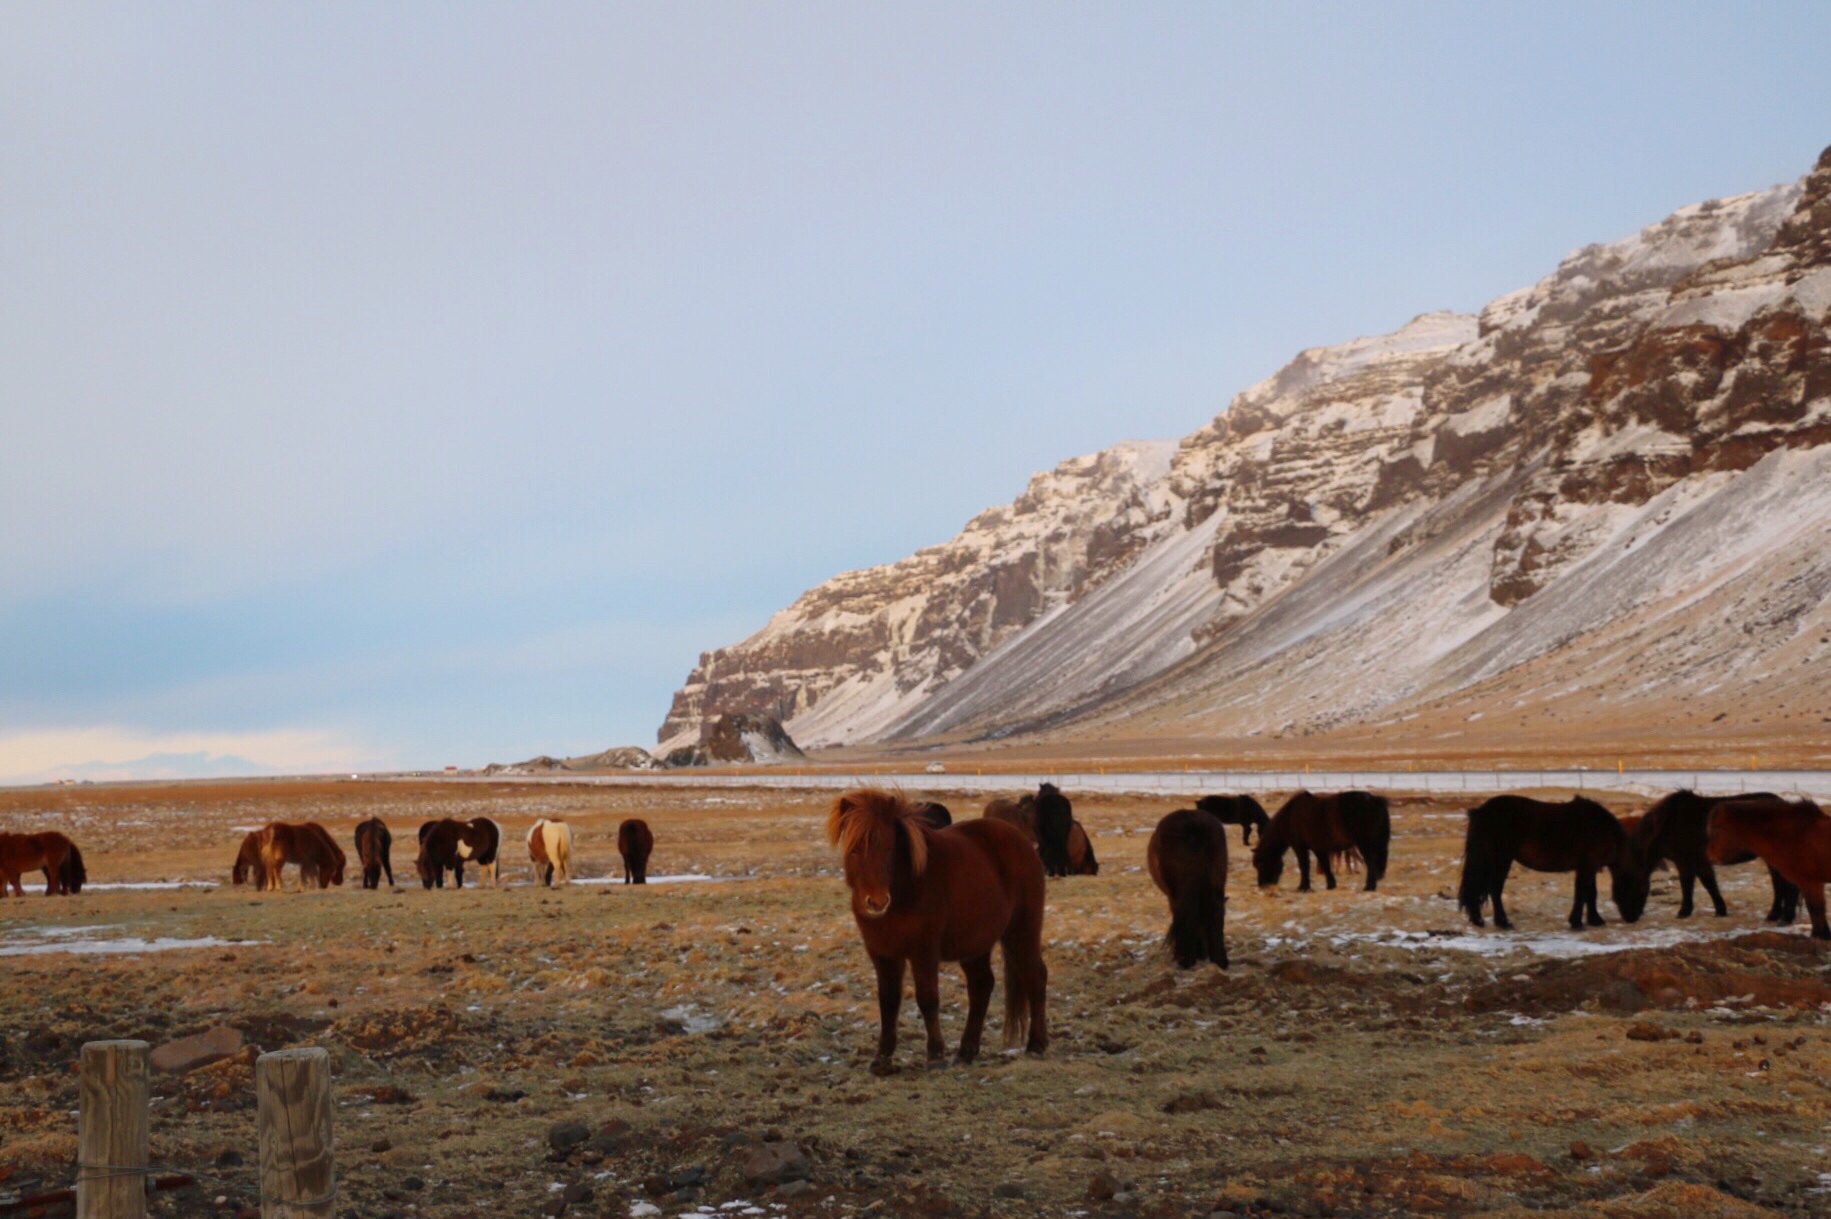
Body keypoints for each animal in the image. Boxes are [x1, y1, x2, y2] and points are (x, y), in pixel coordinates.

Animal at [827, 783, 1047, 1068]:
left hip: (1021, 932)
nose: (876, 902)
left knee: (1035, 977)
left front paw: (935, 1055)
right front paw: (882, 1059)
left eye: (888, 848)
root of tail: (1023, 842)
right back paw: (967, 1050)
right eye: (854, 848)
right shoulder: (883, 954)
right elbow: (888, 1002)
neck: (906, 889)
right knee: (982, 985)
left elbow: (928, 998)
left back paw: (1036, 1044)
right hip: (975, 944)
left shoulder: (924, 952)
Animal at [1142, 805, 1230, 966]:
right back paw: (1219, 959)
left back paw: (1185, 959)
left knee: (1185, 912)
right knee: (1214, 911)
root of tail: (1192, 823)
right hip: (1216, 883)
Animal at [1457, 794, 1647, 926]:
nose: (1633, 917)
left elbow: (1590, 893)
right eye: (1640, 890)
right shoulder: (1586, 867)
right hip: (1501, 860)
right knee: (1495, 889)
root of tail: (1481, 811)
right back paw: (1503, 923)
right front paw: (1577, 922)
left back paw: (1478, 920)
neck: (1603, 829)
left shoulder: (1590, 867)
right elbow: (1582, 893)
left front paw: (1594, 920)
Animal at [1633, 787, 1801, 922]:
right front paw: (1720, 910)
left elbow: (1691, 884)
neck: (1670, 822)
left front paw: (1684, 912)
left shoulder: (1685, 862)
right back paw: (1778, 916)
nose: (1632, 917)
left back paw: (1783, 917)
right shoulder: (1699, 862)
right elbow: (1708, 883)